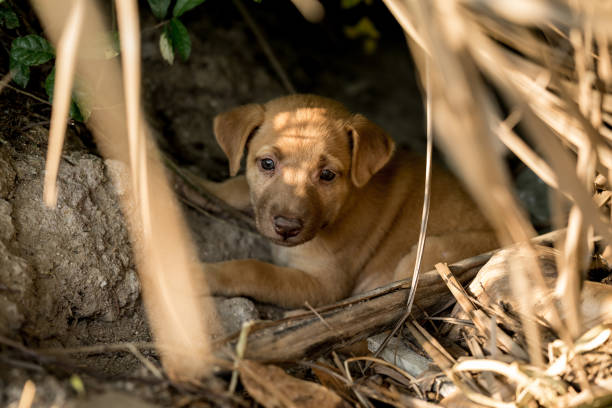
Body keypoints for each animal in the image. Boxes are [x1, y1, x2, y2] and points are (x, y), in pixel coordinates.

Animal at [201, 94, 498, 308]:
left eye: (327, 175)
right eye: (267, 163)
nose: (286, 227)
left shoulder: (325, 285)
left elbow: (255, 270)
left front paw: (205, 275)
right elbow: (237, 185)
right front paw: (205, 187)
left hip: (430, 253)